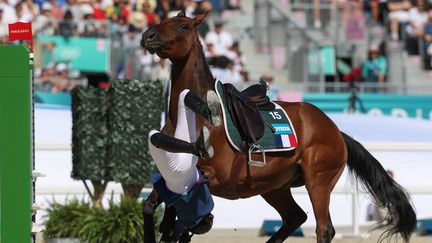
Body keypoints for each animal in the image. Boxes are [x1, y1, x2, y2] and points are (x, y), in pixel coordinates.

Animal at [140, 11, 416, 243]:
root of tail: (335, 129)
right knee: (295, 217)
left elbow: (181, 212)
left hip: (317, 181)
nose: (147, 36)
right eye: (163, 19)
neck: (195, 115)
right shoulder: (173, 177)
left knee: (323, 228)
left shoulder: (211, 175)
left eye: (183, 26)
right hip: (273, 187)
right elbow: (153, 206)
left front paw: (186, 224)